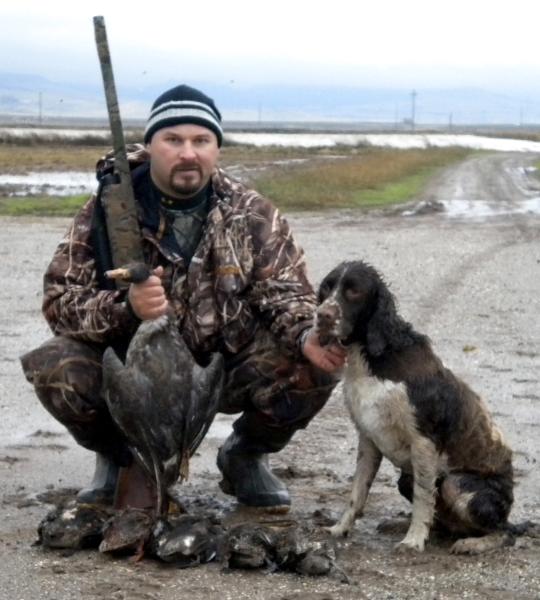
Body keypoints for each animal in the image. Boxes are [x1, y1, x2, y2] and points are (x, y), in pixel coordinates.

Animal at [316, 260, 516, 556]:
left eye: (354, 292)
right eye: (326, 288)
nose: (321, 316)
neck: (376, 356)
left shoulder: (423, 441)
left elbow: (423, 498)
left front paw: (413, 540)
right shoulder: (368, 438)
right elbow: (357, 491)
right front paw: (340, 528)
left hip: (456, 484)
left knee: (505, 531)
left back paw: (473, 543)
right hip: (405, 479)